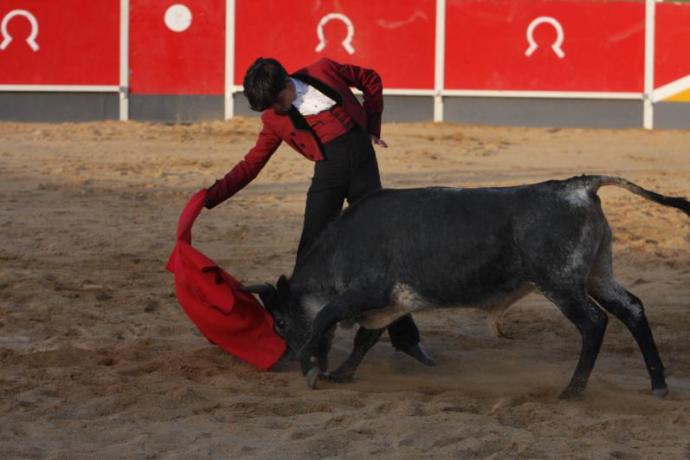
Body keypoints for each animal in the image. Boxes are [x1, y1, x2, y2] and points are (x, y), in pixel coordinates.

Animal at [247, 176, 688, 398]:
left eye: (280, 321)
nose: (286, 358)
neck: (341, 243)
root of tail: (579, 187)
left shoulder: (367, 292)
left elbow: (326, 316)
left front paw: (312, 369)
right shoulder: (389, 304)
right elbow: (365, 339)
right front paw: (341, 374)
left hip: (561, 282)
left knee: (594, 323)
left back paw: (573, 390)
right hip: (597, 273)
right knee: (632, 308)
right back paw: (658, 384)